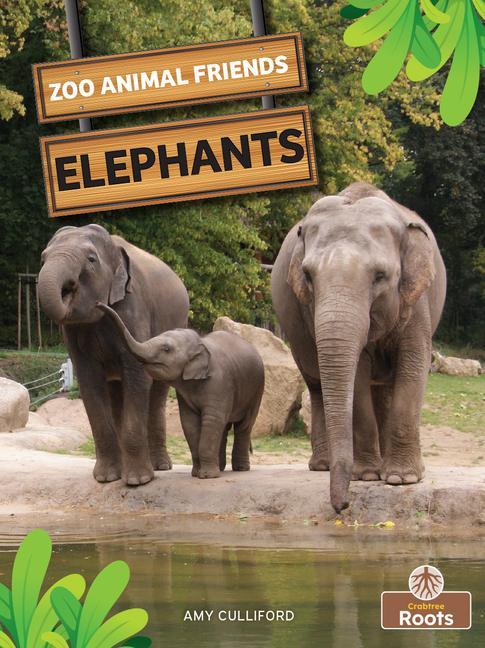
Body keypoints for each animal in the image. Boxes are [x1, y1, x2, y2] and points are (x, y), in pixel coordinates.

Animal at [38, 224, 189, 486]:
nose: (100, 304)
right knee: (117, 391)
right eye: (43, 258)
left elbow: (138, 375)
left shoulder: (133, 308)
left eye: (91, 259)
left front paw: (138, 481)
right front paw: (106, 478)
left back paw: (160, 467)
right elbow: (89, 382)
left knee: (157, 393)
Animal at [96, 303, 265, 479]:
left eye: (166, 349)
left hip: (257, 390)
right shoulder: (184, 394)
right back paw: (221, 467)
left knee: (244, 426)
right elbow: (189, 423)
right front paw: (196, 474)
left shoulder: (220, 383)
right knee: (225, 428)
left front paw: (206, 476)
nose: (98, 304)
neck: (201, 343)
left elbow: (212, 420)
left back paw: (240, 468)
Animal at [271, 183, 446, 512]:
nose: (342, 506)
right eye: (308, 276)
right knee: (316, 385)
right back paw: (324, 466)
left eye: (380, 276)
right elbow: (358, 375)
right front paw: (366, 476)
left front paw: (402, 480)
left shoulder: (416, 300)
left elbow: (413, 364)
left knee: (386, 388)